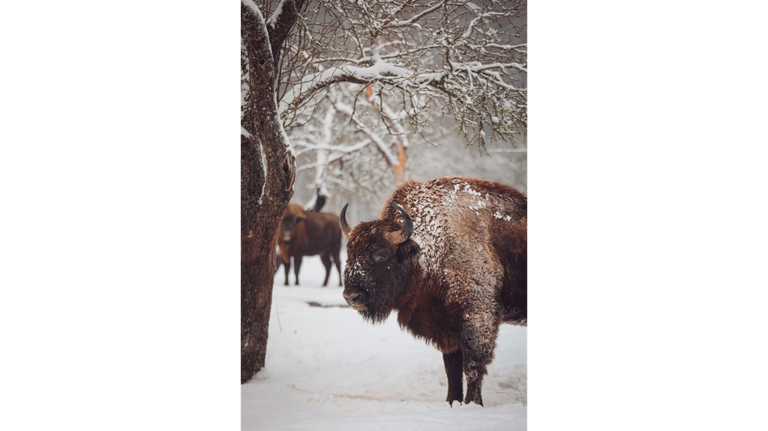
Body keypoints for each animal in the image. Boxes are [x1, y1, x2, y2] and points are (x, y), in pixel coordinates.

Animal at [342, 177, 528, 406]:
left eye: (382, 255)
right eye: (349, 254)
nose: (352, 296)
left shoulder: (478, 318)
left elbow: (473, 368)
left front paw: (472, 404)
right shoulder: (447, 327)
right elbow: (452, 369)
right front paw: (452, 402)